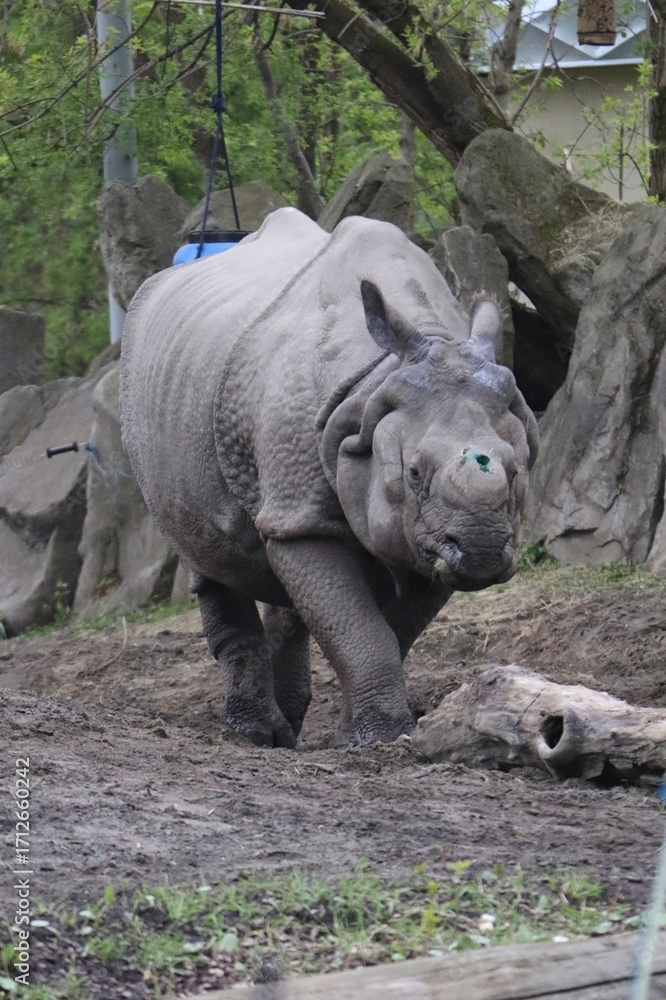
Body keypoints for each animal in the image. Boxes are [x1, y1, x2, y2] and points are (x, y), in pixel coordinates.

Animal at [121, 208, 538, 748]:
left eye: (515, 470)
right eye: (414, 472)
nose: (483, 549)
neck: (379, 380)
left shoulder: (425, 537)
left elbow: (385, 629)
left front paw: (360, 735)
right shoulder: (318, 513)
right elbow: (361, 628)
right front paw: (380, 737)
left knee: (279, 570)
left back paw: (287, 728)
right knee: (208, 559)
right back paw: (256, 735)